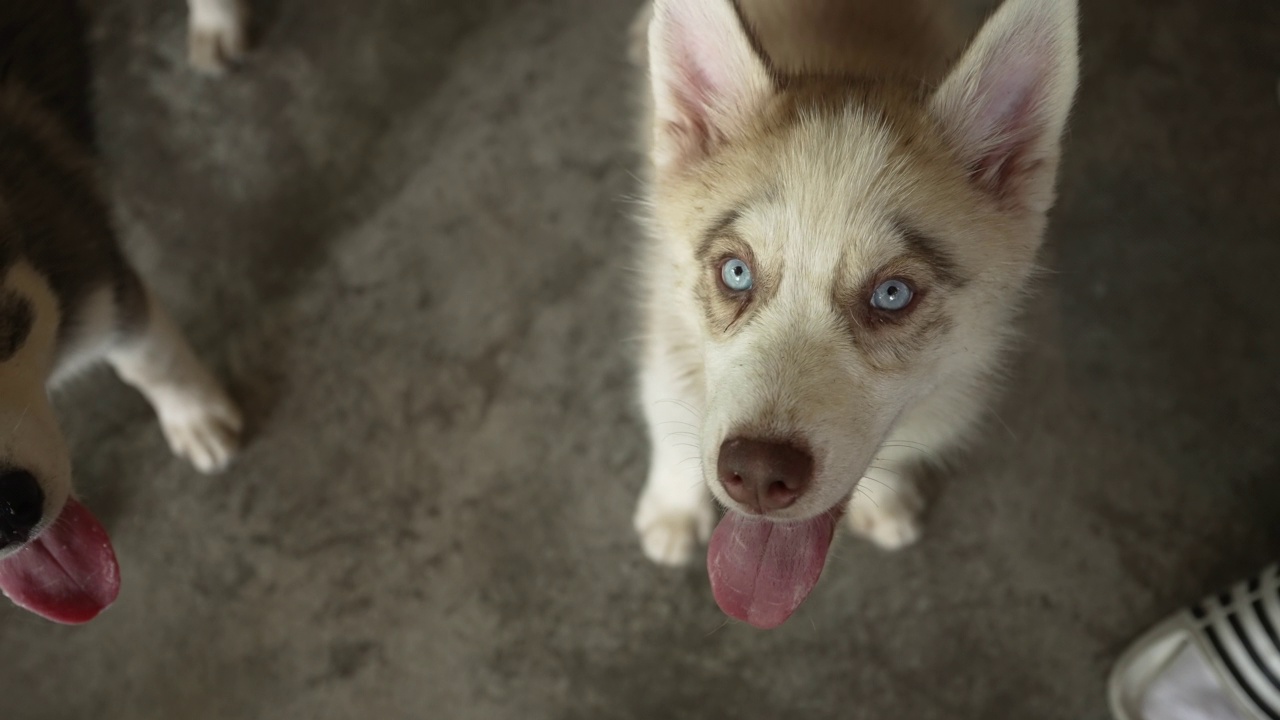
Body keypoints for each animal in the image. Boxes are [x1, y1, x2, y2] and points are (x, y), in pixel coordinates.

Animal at [629, 0, 1080, 625]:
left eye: (892, 294)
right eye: (736, 272)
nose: (758, 475)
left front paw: (885, 496)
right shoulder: (664, 321)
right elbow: (667, 403)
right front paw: (673, 510)